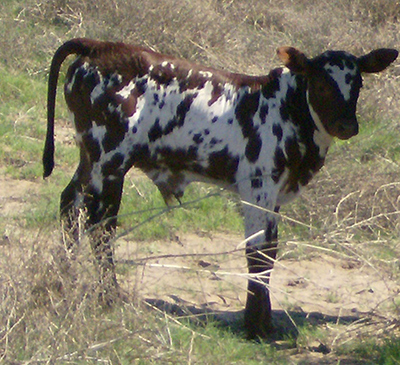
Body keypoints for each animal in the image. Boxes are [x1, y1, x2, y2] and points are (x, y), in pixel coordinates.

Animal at [42, 38, 396, 336]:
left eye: (358, 83)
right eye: (321, 83)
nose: (347, 126)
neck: (288, 109)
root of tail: (98, 46)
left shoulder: (275, 196)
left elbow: (269, 253)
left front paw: (263, 322)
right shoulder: (257, 188)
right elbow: (258, 253)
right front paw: (254, 326)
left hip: (93, 161)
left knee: (74, 208)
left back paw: (65, 281)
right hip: (108, 160)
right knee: (97, 222)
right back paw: (105, 296)